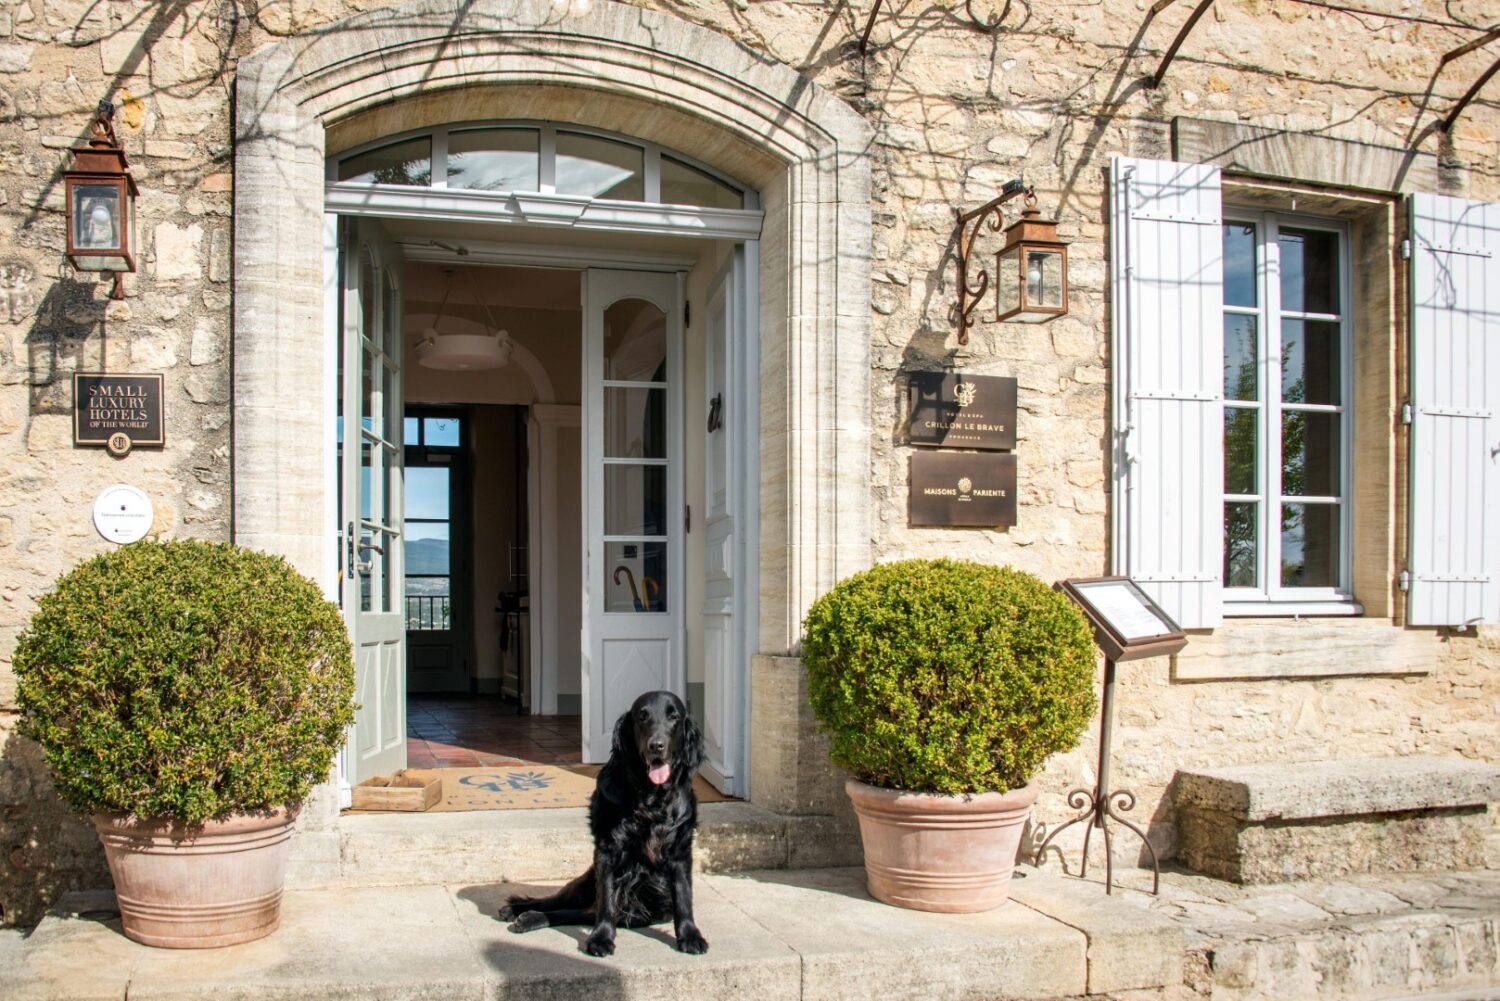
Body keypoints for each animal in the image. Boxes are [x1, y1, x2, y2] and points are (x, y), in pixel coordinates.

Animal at [498, 690, 708, 954]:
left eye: (674, 717)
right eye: (642, 716)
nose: (656, 746)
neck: (650, 797)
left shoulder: (679, 850)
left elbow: (683, 896)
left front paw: (690, 934)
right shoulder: (607, 850)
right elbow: (606, 900)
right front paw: (601, 937)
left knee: (574, 912)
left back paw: (529, 918)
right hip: (584, 883)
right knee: (556, 901)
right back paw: (516, 909)